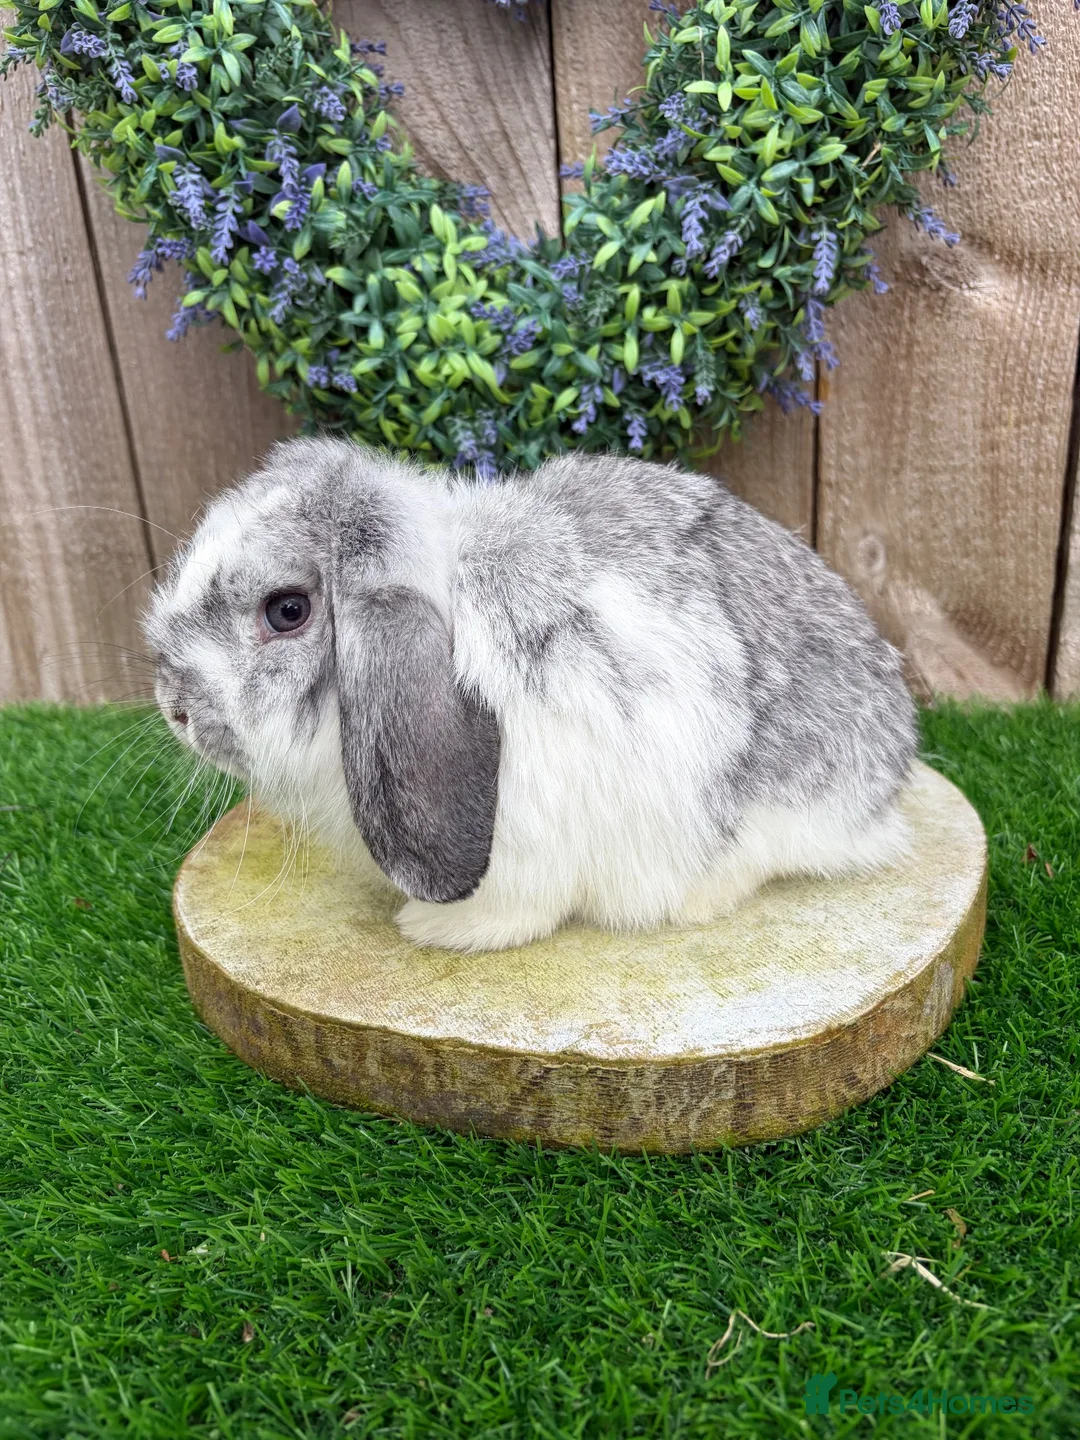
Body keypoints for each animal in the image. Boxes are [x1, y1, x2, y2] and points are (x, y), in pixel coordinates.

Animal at [145, 437, 918, 953]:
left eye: (287, 611)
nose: (175, 710)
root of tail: (889, 776)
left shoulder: (525, 849)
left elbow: (514, 912)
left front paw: (431, 926)